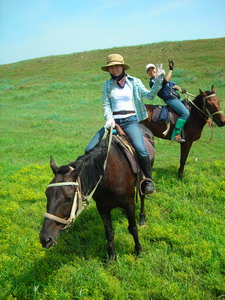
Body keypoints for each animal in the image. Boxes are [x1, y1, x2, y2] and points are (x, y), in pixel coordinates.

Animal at [39, 128, 155, 260]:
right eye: (47, 194)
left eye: (69, 198)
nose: (45, 238)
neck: (108, 174)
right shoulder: (102, 207)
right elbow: (109, 232)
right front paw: (112, 257)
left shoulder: (129, 203)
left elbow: (133, 228)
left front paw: (138, 251)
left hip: (141, 178)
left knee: (142, 195)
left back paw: (142, 218)